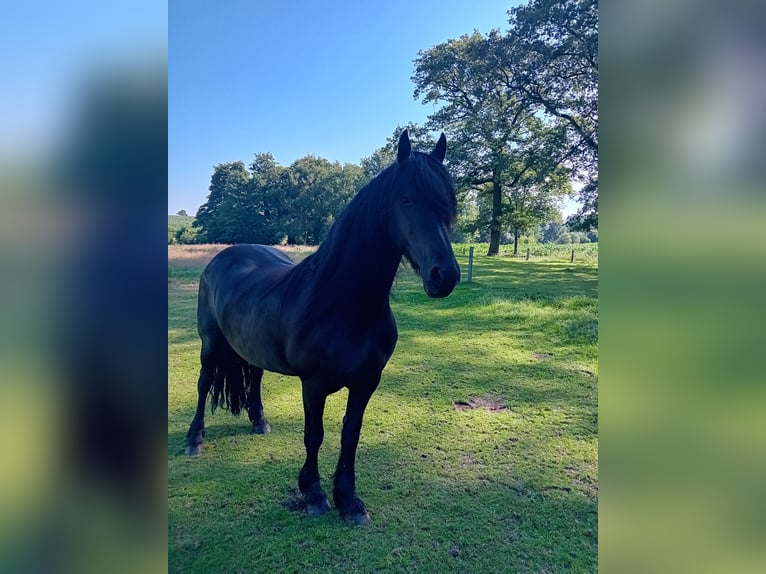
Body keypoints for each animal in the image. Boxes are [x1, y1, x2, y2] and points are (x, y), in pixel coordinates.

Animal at [184, 130, 462, 528]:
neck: (342, 303)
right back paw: (194, 440)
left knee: (254, 377)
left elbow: (350, 435)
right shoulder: (313, 385)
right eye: (407, 199)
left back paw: (259, 421)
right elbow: (314, 435)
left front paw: (349, 500)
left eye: (447, 203)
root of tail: (224, 256)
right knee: (204, 383)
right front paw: (314, 494)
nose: (445, 276)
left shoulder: (366, 382)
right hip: (210, 344)